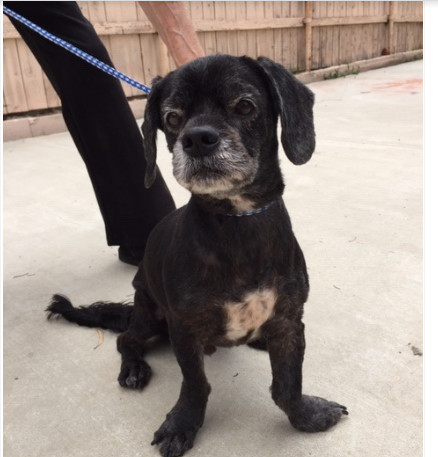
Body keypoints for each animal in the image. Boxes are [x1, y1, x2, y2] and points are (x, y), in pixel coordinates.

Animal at [48, 54, 348, 456]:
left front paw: (307, 416)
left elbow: (288, 384)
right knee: (126, 339)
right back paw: (134, 368)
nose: (197, 139)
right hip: (149, 315)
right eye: (173, 118)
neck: (236, 223)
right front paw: (182, 424)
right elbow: (196, 384)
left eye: (244, 106)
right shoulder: (185, 329)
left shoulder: (289, 320)